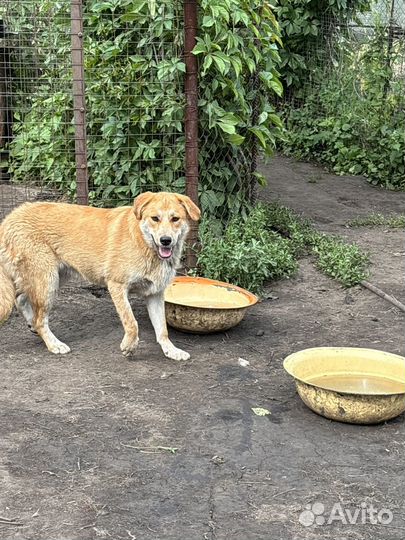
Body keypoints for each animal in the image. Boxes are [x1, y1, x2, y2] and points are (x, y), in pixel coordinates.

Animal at [0, 190, 199, 358]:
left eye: (175, 219)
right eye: (155, 218)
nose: (166, 240)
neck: (144, 243)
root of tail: (10, 217)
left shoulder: (154, 294)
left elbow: (162, 329)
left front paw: (171, 350)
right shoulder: (117, 286)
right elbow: (132, 323)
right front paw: (129, 346)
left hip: (55, 278)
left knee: (22, 299)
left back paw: (33, 325)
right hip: (47, 282)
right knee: (40, 319)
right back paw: (53, 344)